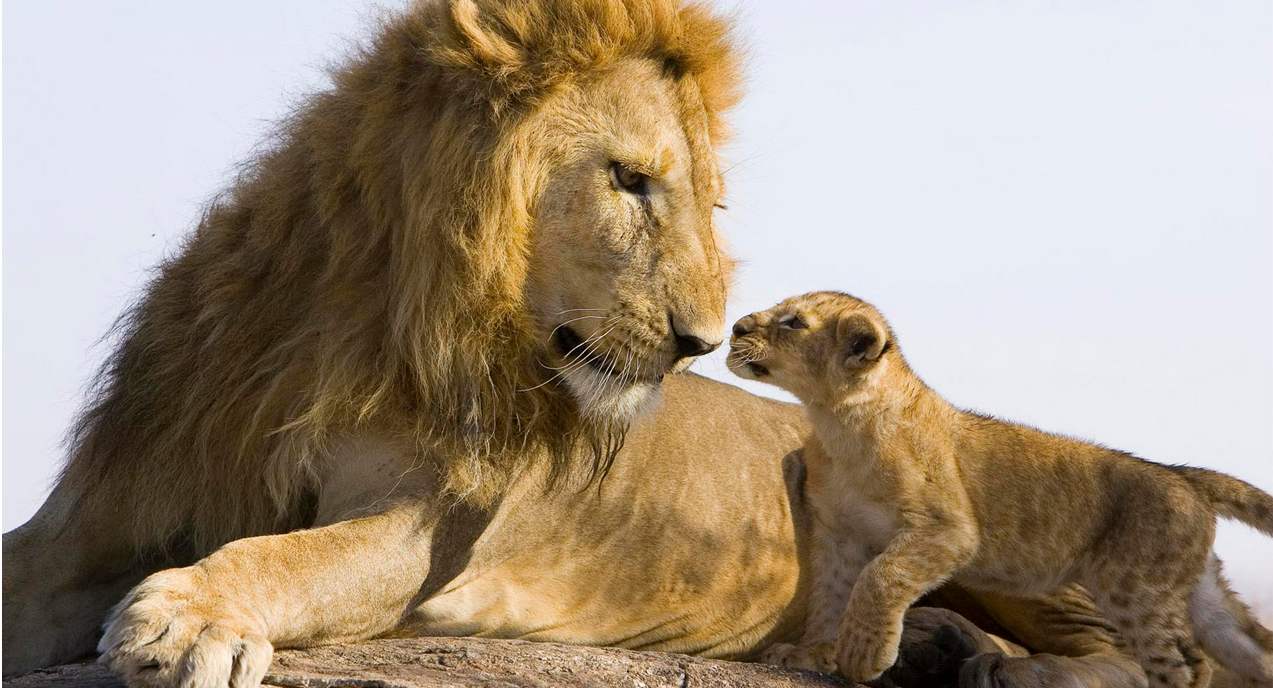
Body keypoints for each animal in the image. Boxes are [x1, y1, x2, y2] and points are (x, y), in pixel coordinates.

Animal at [0, 1, 1186, 688]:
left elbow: (288, 554)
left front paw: (189, 615)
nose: (701, 341)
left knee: (1133, 655)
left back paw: (1006, 668)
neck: (357, 319)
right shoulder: (107, 508)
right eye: (628, 180)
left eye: (709, 201)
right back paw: (930, 651)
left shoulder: (427, 527)